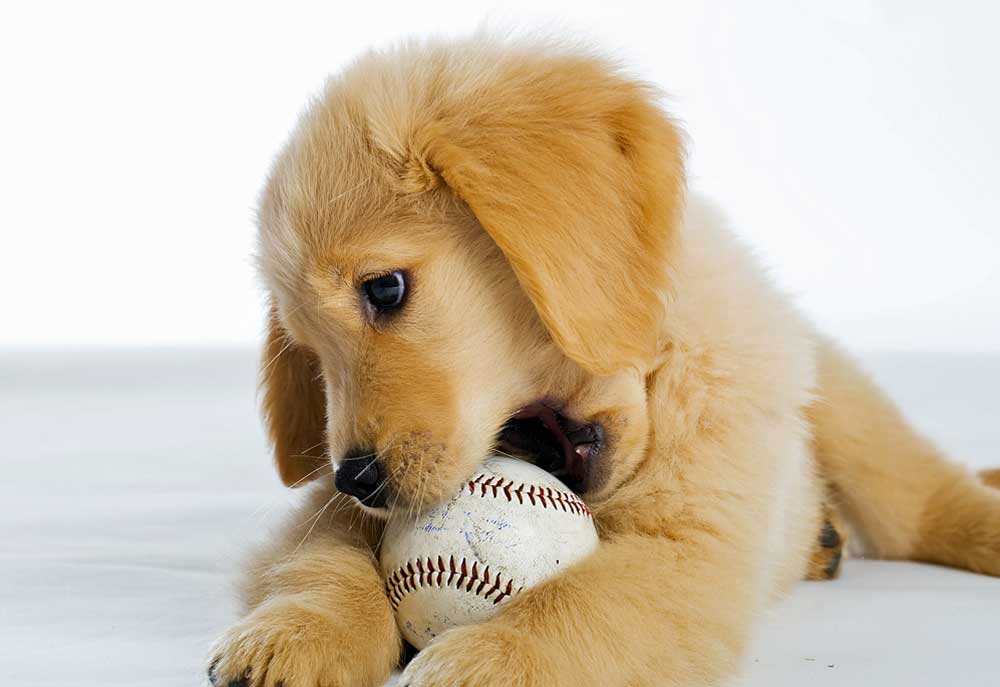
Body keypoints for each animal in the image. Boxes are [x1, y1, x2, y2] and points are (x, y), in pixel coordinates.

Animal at [209, 36, 1000, 687]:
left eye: (386, 289)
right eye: (312, 353)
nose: (358, 477)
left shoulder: (695, 545)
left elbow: (579, 601)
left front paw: (493, 657)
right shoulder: (324, 511)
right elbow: (324, 560)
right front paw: (296, 633)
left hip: (844, 402)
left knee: (920, 497)